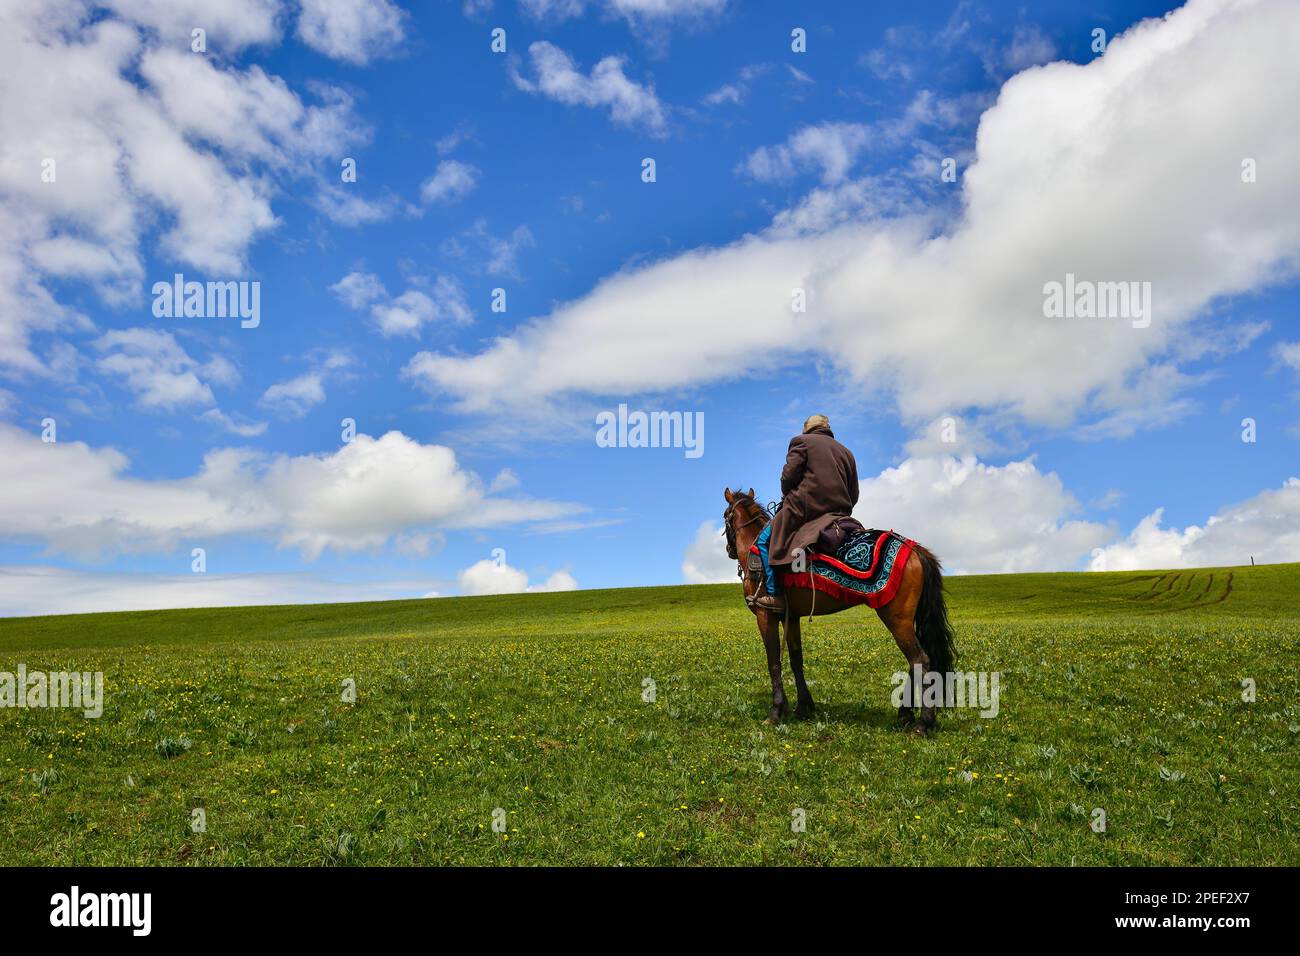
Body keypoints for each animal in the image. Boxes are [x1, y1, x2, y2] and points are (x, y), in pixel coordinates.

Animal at [722, 489, 956, 738]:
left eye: (726, 515)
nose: (729, 550)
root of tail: (914, 549)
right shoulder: (792, 617)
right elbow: (796, 659)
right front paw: (804, 707)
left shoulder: (765, 614)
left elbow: (773, 660)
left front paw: (776, 711)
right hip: (906, 620)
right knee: (917, 661)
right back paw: (905, 714)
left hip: (896, 619)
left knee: (920, 659)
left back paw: (923, 723)